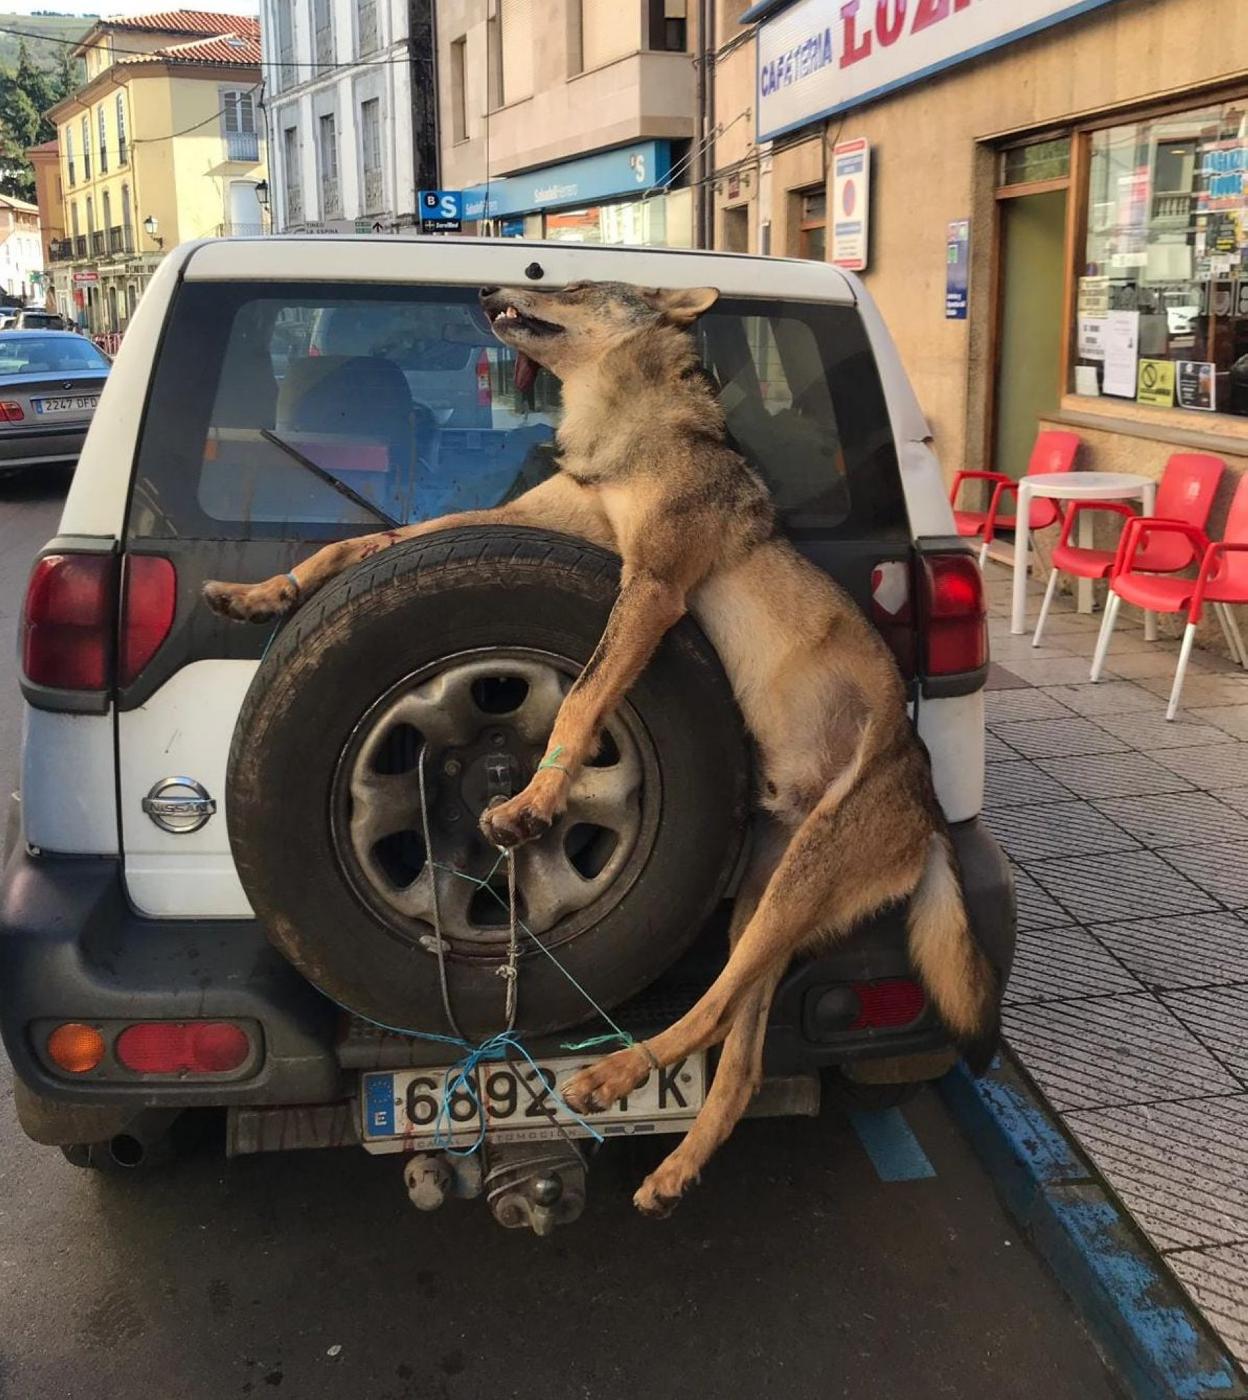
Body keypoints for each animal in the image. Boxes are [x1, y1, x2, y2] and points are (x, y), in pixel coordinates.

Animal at [204, 280, 1000, 1216]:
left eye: (567, 284)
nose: (486, 288)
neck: (621, 431)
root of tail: (932, 816)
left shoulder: (650, 588)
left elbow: (582, 699)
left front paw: (530, 803)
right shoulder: (535, 524)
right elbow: (365, 541)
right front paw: (262, 592)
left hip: (791, 892)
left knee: (711, 1011)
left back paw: (610, 1079)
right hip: (762, 910)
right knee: (741, 1054)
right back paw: (672, 1170)